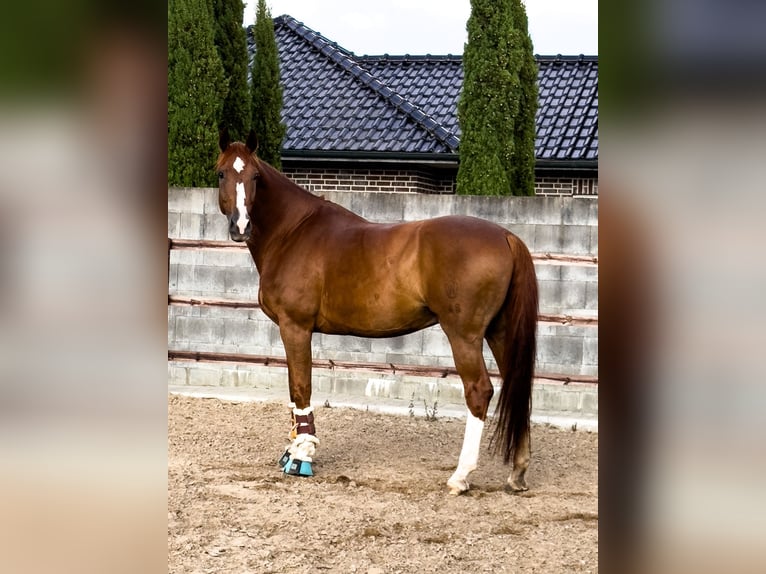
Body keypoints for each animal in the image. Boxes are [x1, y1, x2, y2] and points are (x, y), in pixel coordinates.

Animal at [215, 129, 538, 495]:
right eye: (222, 173)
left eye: (255, 176)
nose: (240, 226)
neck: (293, 232)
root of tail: (506, 235)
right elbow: (293, 389)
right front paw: (292, 448)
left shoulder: (295, 327)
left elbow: (300, 387)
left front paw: (301, 456)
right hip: (499, 331)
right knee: (517, 386)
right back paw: (517, 472)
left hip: (464, 335)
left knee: (480, 390)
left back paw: (461, 476)